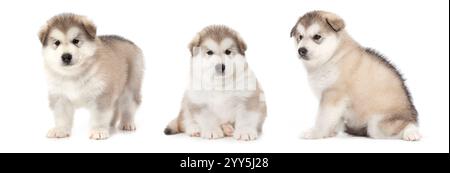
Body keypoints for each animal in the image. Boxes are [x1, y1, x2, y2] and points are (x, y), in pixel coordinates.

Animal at [39, 13, 144, 141]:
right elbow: (61, 116)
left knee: (129, 106)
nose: (66, 56)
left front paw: (98, 131)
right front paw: (60, 130)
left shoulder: (101, 94)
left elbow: (99, 116)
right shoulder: (60, 96)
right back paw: (111, 123)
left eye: (76, 41)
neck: (73, 74)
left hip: (131, 85)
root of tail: (128, 41)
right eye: (57, 43)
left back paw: (126, 123)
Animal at [290, 10, 420, 141]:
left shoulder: (333, 95)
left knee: (405, 124)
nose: (301, 50)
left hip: (378, 124)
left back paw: (411, 133)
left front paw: (316, 133)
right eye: (300, 37)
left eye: (317, 36)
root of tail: (412, 114)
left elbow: (323, 118)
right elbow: (333, 119)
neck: (332, 56)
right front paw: (330, 133)